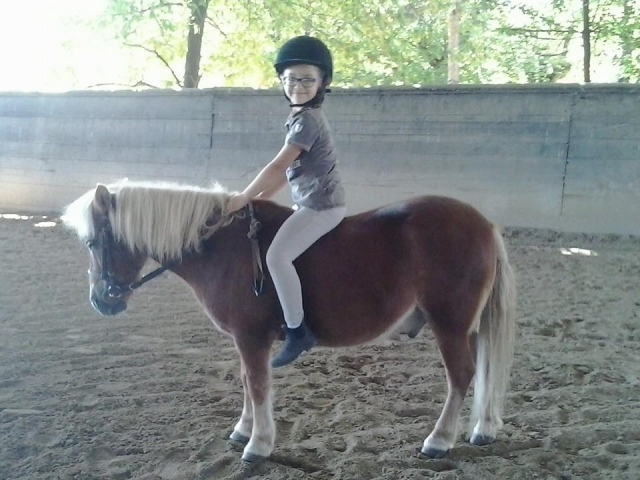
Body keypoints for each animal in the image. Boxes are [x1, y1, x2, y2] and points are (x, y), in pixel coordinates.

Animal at [62, 179, 516, 463]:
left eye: (93, 241)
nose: (100, 301)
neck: (220, 247)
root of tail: (483, 223)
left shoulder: (251, 337)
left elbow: (258, 384)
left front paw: (258, 445)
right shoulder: (245, 339)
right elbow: (247, 381)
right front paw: (243, 430)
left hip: (449, 324)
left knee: (460, 376)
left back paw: (438, 441)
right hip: (469, 326)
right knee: (483, 368)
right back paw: (483, 429)